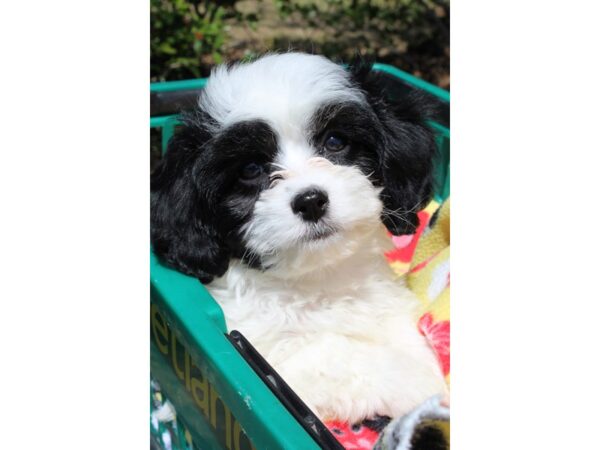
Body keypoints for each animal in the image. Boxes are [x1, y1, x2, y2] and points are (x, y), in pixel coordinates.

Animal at [152, 52, 448, 426]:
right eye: (250, 170)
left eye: (335, 142)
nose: (310, 201)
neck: (316, 281)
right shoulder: (270, 360)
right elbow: (335, 353)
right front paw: (416, 384)